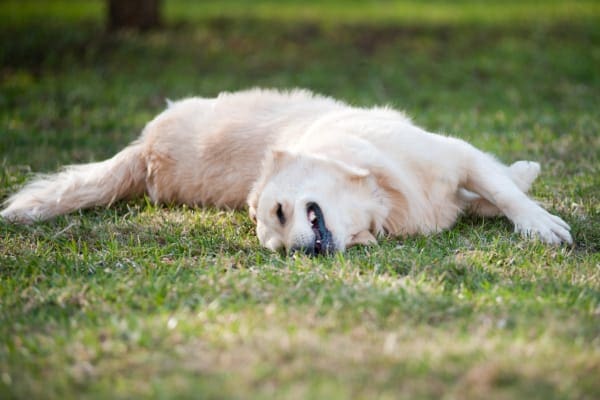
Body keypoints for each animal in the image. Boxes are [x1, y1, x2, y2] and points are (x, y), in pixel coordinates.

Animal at [0, 89, 572, 255]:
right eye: (274, 246)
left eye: (279, 211)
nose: (300, 253)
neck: (383, 195)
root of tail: (145, 150)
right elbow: (490, 194)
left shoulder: (457, 156)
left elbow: (500, 190)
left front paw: (537, 220)